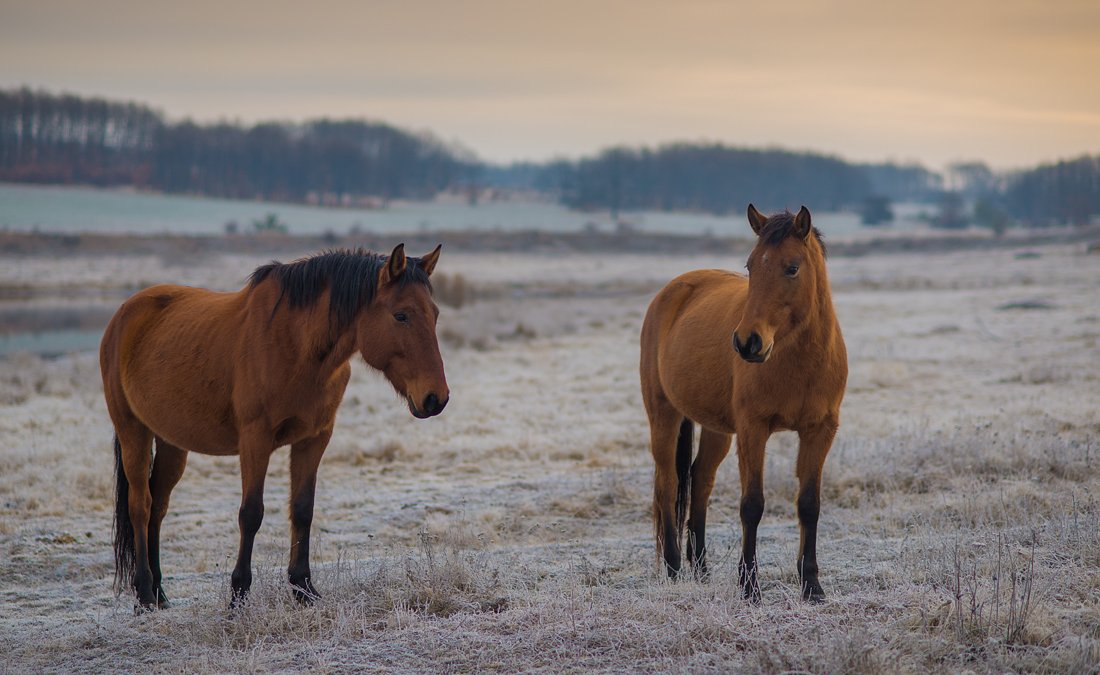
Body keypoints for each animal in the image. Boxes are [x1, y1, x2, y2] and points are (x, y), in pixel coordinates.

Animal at [99, 245, 448, 615]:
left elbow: (303, 510)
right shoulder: (256, 440)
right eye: (401, 315)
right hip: (133, 431)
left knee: (158, 507)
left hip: (171, 442)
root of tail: (123, 314)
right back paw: (144, 594)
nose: (435, 398)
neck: (295, 345)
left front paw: (304, 588)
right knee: (140, 505)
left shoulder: (315, 438)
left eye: (434, 314)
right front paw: (238, 595)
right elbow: (251, 513)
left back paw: (161, 594)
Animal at [642, 206, 844, 602]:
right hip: (663, 415)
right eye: (750, 266)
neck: (800, 359)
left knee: (700, 481)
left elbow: (809, 505)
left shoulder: (820, 430)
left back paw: (700, 569)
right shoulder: (754, 429)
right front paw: (749, 587)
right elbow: (752, 505)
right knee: (668, 483)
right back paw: (673, 568)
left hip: (717, 430)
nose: (747, 342)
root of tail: (672, 291)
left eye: (792, 267)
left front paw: (812, 585)